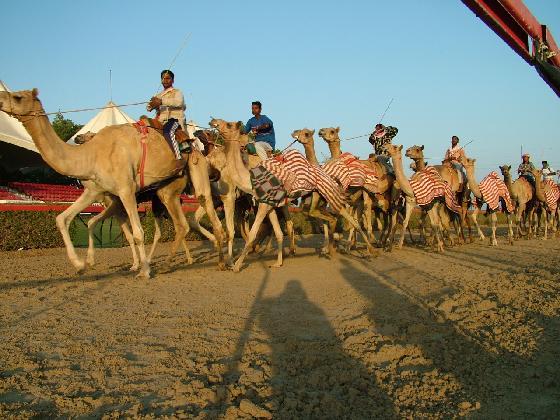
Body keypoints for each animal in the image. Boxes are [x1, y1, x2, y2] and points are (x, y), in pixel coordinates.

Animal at [0, 88, 224, 278]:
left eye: (18, 97)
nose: (1, 98)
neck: (93, 154)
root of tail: (195, 148)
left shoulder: (125, 191)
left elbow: (137, 233)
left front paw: (143, 271)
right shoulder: (95, 191)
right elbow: (65, 219)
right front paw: (82, 264)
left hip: (197, 174)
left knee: (210, 217)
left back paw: (222, 260)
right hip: (166, 192)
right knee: (181, 224)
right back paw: (172, 262)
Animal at [210, 119, 376, 270]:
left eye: (229, 124)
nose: (213, 122)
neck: (249, 179)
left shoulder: (263, 204)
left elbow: (252, 234)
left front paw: (236, 265)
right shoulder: (270, 205)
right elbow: (277, 232)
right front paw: (277, 262)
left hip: (330, 195)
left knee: (350, 219)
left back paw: (367, 250)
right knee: (337, 218)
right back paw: (334, 247)